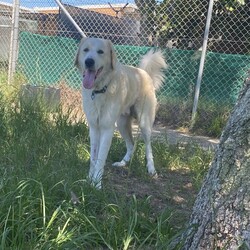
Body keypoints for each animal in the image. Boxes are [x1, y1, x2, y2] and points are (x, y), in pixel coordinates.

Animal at [75, 37, 167, 188]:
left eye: (100, 52)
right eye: (85, 50)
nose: (89, 61)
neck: (100, 90)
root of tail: (144, 73)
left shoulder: (107, 129)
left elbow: (100, 159)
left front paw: (96, 184)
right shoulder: (94, 127)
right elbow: (93, 158)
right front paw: (89, 179)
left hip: (144, 123)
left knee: (148, 147)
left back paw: (151, 169)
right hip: (122, 124)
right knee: (131, 145)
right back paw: (123, 163)